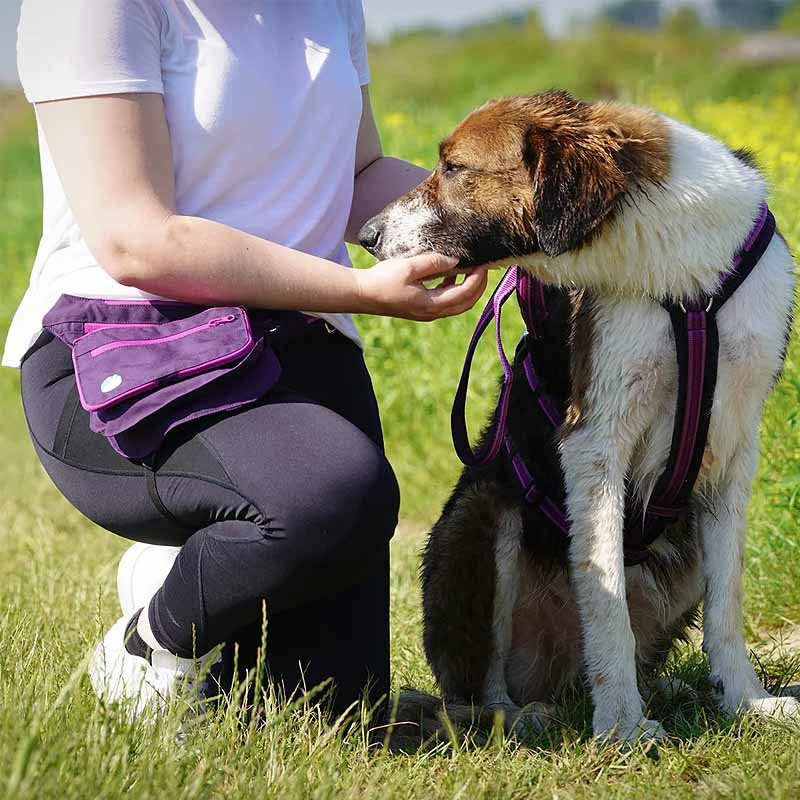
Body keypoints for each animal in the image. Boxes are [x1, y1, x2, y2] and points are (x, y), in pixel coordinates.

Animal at [360, 92, 796, 744]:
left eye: (455, 168)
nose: (366, 235)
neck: (677, 262)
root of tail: (558, 680)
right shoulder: (594, 438)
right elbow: (606, 592)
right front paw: (621, 727)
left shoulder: (734, 445)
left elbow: (728, 600)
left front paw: (745, 701)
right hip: (483, 513)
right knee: (479, 693)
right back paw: (527, 714)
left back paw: (662, 689)